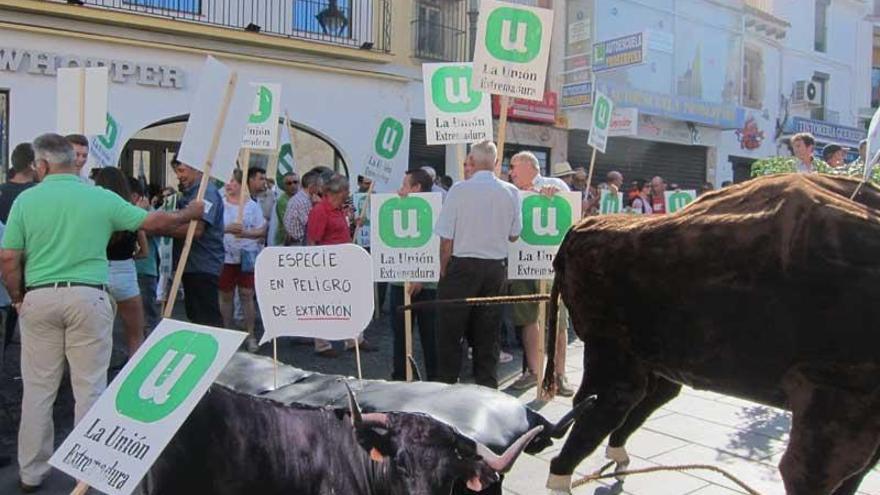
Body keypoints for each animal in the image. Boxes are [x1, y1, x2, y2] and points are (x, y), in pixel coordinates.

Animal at [540, 175, 880, 495]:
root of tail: (582, 228)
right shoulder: (831, 403)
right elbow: (812, 472)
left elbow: (853, 477)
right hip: (613, 357)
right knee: (602, 408)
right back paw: (564, 477)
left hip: (657, 362)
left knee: (636, 402)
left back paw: (618, 459)